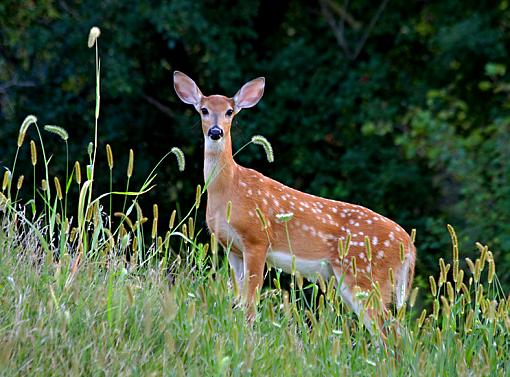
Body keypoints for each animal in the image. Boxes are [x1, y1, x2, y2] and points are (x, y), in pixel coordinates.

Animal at [173, 71, 416, 334]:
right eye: (204, 110)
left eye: (229, 111)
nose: (216, 132)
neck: (229, 189)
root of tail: (408, 245)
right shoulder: (232, 248)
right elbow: (238, 298)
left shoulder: (257, 239)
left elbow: (251, 302)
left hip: (365, 274)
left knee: (390, 331)